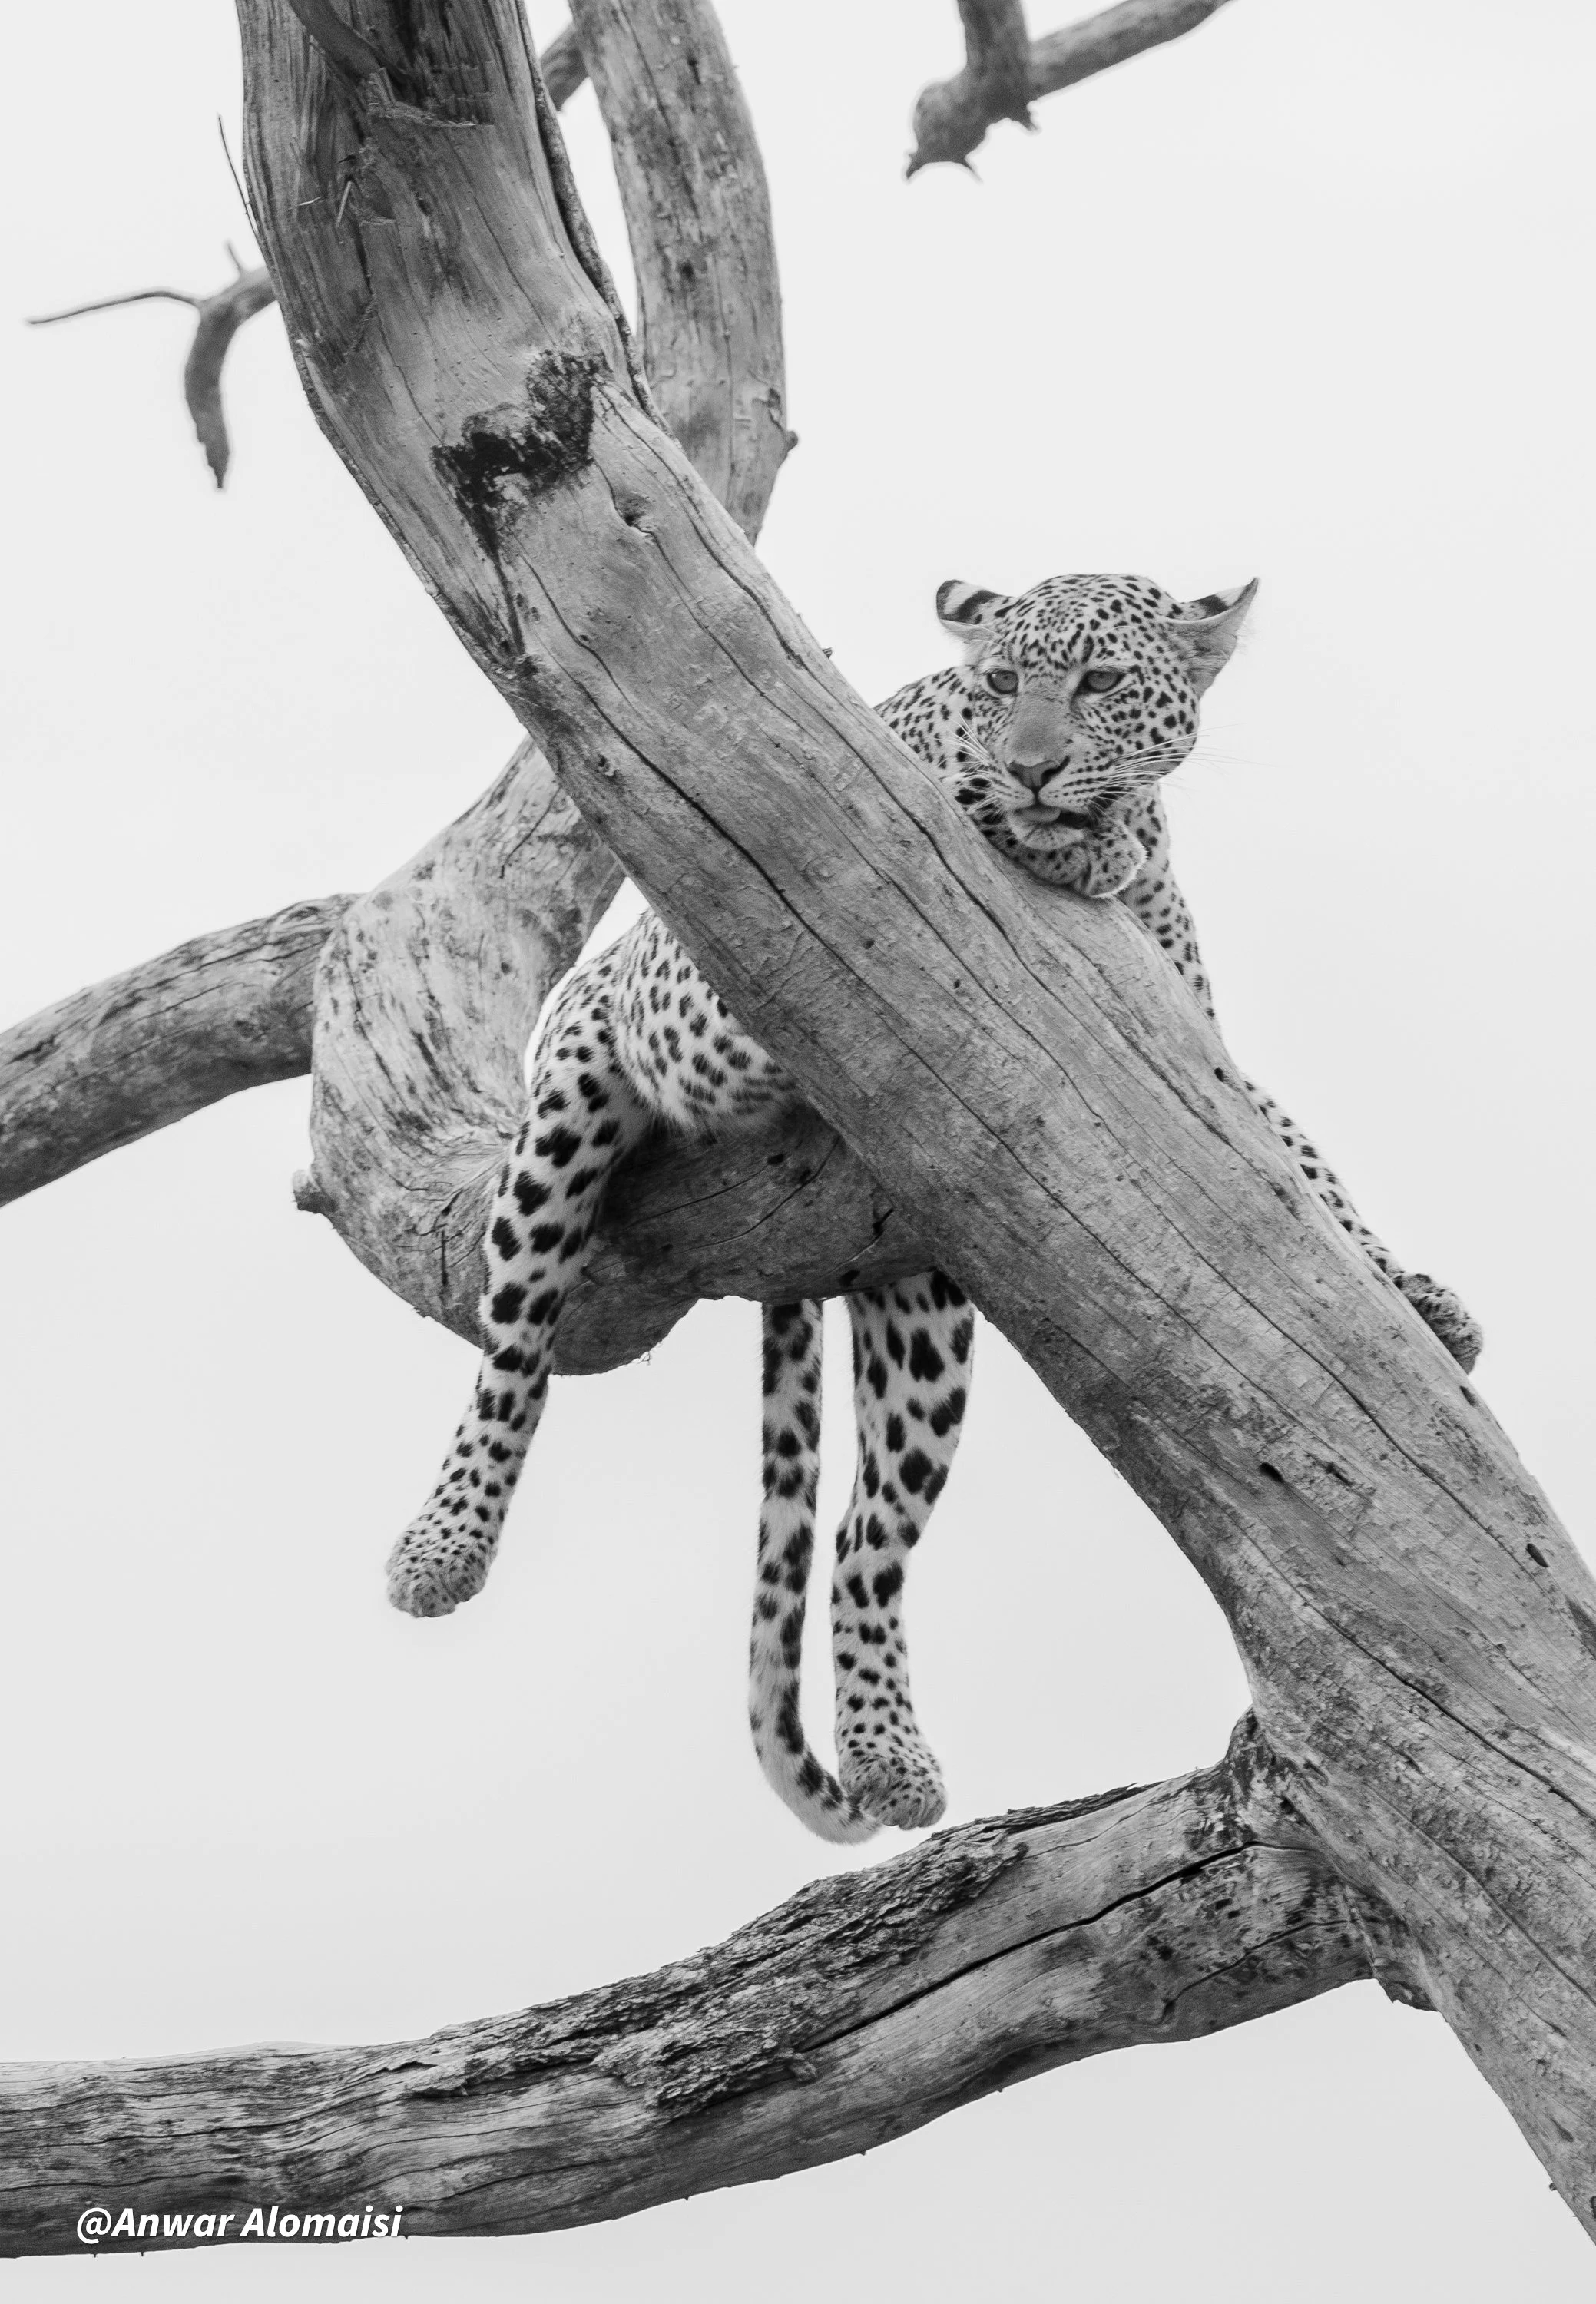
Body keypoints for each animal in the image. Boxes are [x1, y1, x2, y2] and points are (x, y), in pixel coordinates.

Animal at [385, 570, 1482, 1844]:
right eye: (1001, 681)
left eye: (1100, 681)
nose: (1035, 767)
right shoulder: (732, 956)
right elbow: (952, 806)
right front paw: (1031, 814)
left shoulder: (1197, 1050)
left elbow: (1300, 1158)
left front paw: (1411, 1292)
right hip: (568, 1102)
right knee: (513, 1349)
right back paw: (441, 1547)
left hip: (924, 1314)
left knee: (866, 1537)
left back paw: (886, 1755)